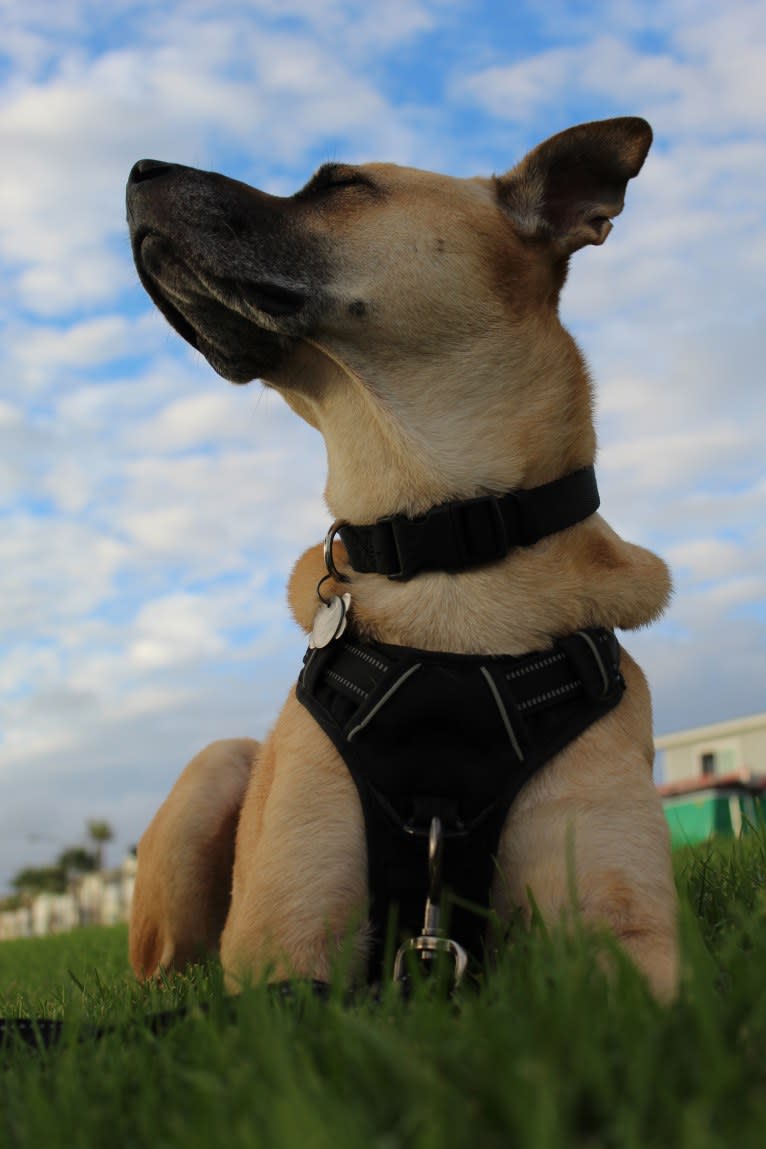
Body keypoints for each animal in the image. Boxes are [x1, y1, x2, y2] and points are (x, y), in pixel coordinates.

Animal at [127, 114, 684, 997]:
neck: (447, 540)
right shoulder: (284, 951)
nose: (137, 169)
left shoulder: (628, 932)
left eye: (340, 185)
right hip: (217, 772)